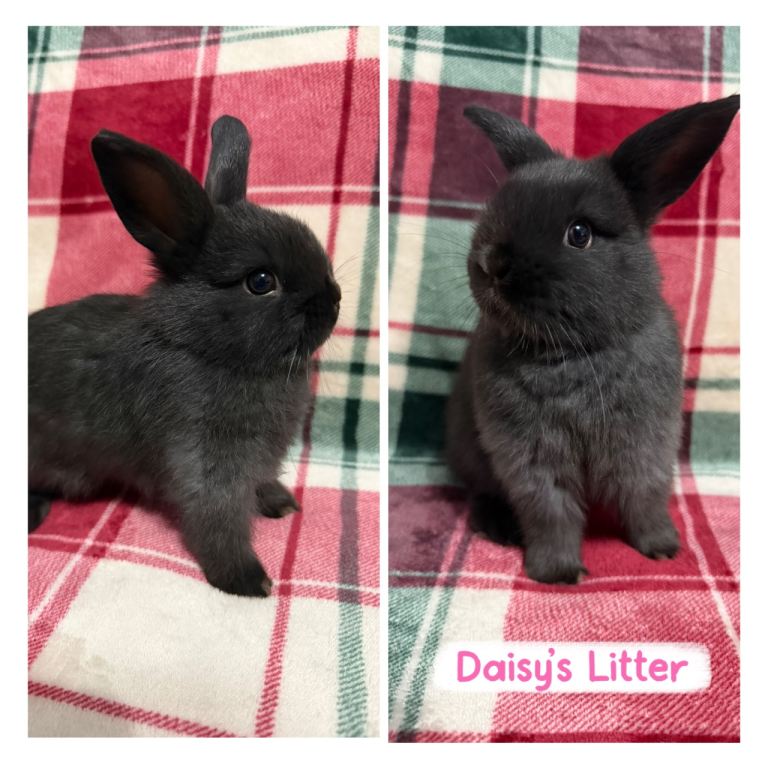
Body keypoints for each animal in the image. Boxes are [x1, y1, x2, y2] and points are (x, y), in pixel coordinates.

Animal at [28, 115, 341, 597]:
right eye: (261, 281)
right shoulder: (204, 464)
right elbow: (216, 521)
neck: (207, 349)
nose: (334, 300)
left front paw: (280, 503)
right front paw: (247, 580)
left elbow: (258, 486)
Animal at [445, 95, 739, 584]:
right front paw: (559, 572)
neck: (572, 354)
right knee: (483, 492)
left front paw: (662, 550)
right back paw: (498, 529)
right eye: (495, 209)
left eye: (579, 233)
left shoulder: (644, 447)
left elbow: (644, 500)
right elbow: (551, 513)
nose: (491, 263)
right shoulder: (532, 459)